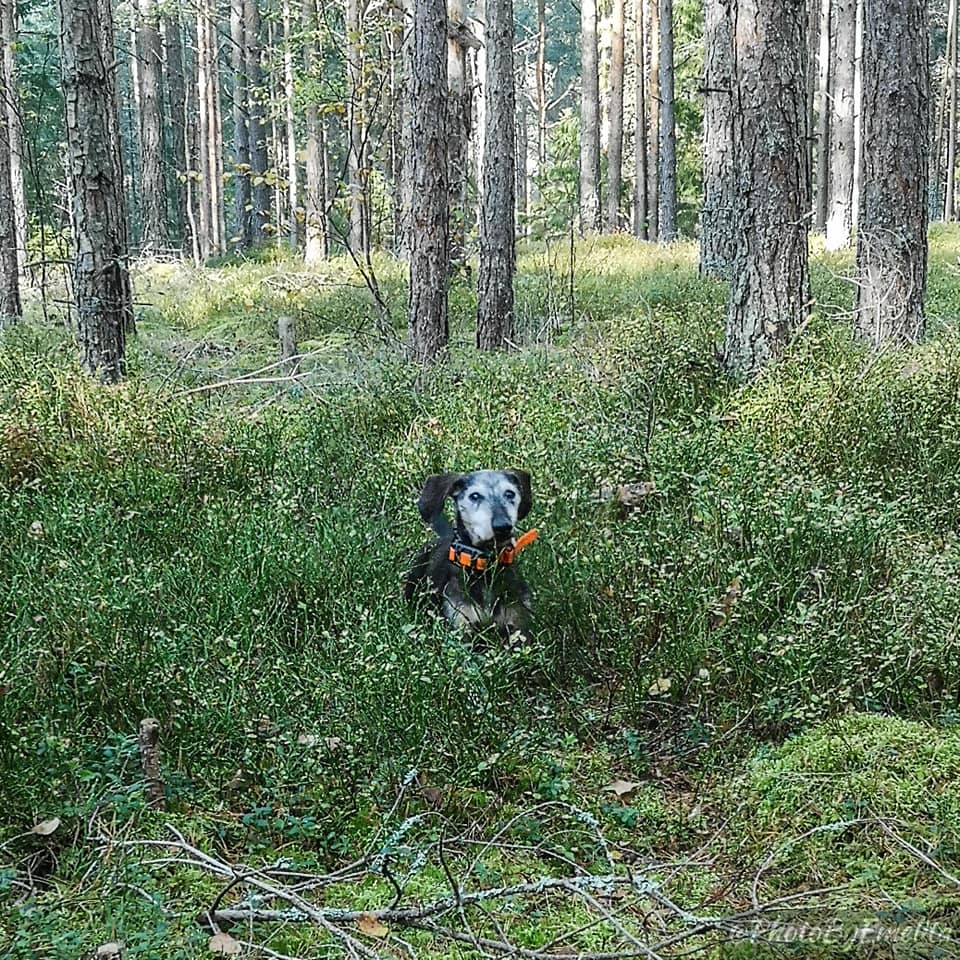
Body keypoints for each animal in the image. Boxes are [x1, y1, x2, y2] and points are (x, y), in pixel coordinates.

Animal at [404, 470, 536, 640]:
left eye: (510, 493)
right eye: (474, 496)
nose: (503, 527)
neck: (485, 569)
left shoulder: (519, 627)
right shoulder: (461, 627)